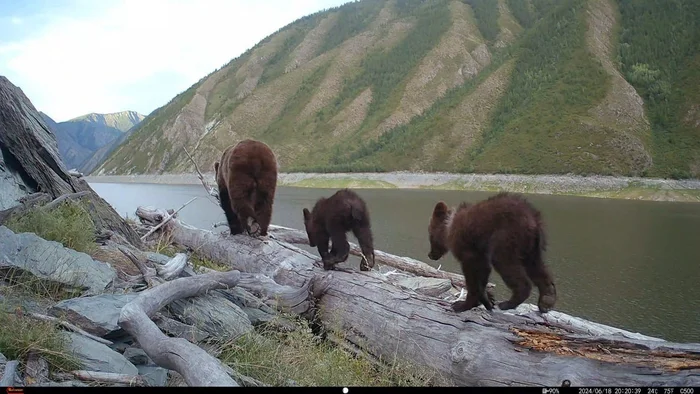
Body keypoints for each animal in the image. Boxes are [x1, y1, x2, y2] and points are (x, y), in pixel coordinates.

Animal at [426, 192, 556, 312]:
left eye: (430, 235)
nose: (430, 254)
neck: (449, 227)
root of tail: (533, 218)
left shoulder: (468, 250)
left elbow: (473, 277)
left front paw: (462, 305)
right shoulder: (480, 253)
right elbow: (483, 273)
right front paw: (487, 300)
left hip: (507, 237)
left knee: (508, 265)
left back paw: (508, 303)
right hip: (531, 248)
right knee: (538, 268)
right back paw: (546, 301)